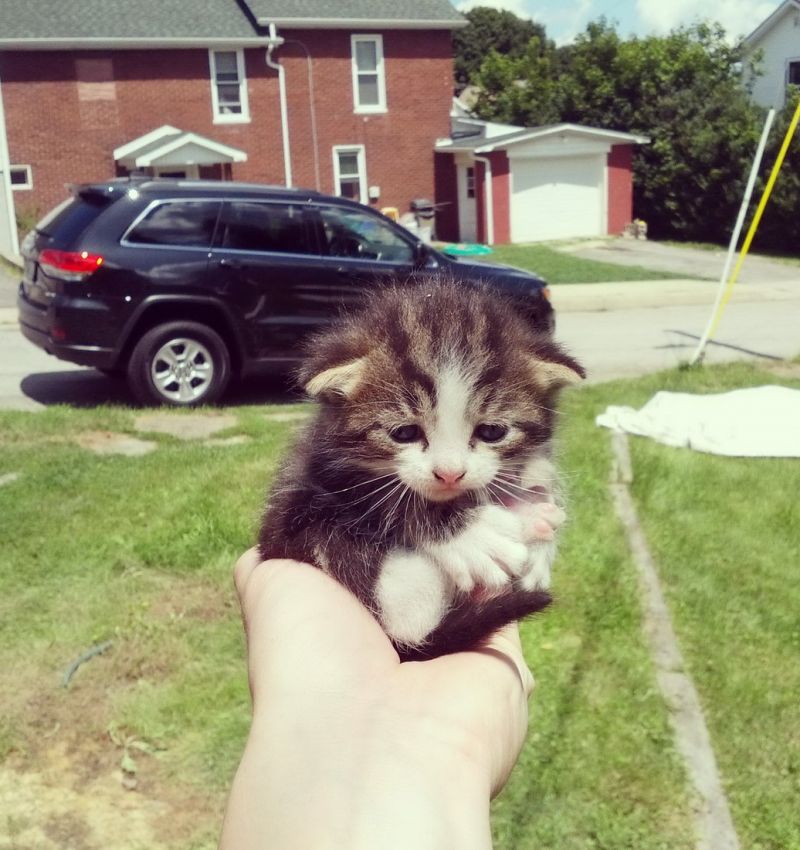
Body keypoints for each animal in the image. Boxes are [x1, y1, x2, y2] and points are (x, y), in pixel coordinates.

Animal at [258, 277, 585, 660]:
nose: (450, 474)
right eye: (404, 433)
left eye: (492, 431)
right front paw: (471, 532)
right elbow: (380, 501)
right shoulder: (312, 475)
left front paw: (537, 487)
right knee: (406, 614)